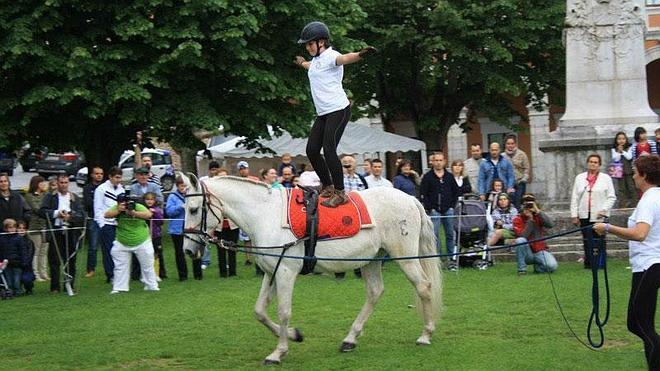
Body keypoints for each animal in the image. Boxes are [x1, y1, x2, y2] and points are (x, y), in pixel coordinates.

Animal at [180, 175, 444, 366]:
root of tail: (410, 198)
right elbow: (259, 311)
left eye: (193, 209)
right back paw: (350, 339)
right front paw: (294, 335)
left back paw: (426, 334)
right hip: (371, 259)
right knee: (375, 292)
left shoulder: (286, 272)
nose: (188, 250)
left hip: (404, 257)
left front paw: (278, 352)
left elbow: (283, 312)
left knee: (423, 287)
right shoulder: (271, 272)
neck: (265, 214)